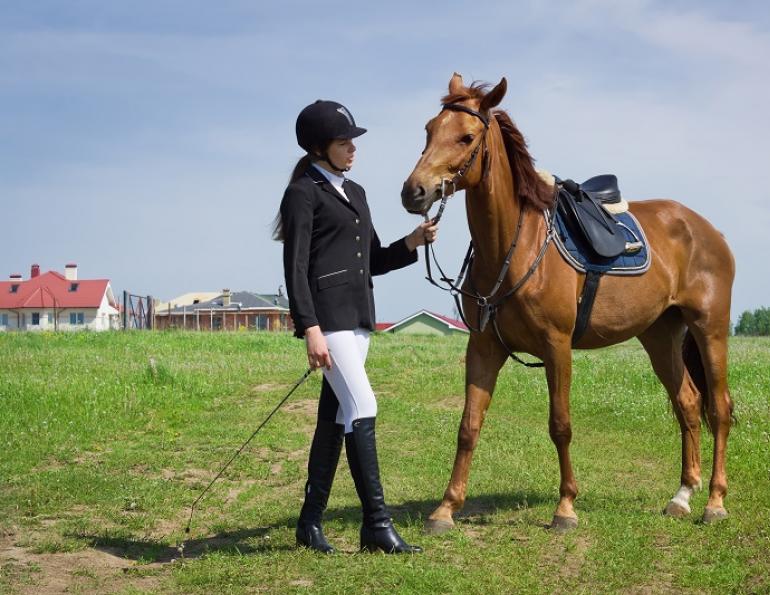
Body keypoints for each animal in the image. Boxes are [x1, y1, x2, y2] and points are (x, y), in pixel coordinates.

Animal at [401, 73, 735, 533]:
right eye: (429, 131)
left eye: (466, 137)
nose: (413, 191)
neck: (515, 246)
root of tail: (707, 228)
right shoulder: (483, 347)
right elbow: (468, 426)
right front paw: (445, 509)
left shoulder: (556, 346)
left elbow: (560, 425)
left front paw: (565, 507)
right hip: (660, 335)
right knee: (687, 402)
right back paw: (682, 495)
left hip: (709, 329)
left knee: (718, 408)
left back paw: (714, 503)